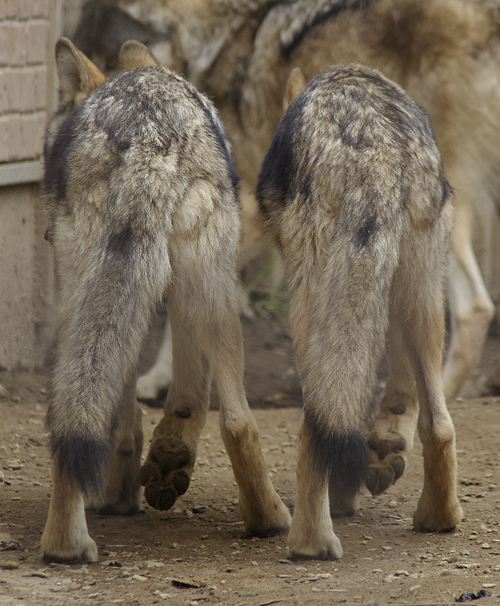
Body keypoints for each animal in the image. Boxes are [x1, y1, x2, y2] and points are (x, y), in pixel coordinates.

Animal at [41, 38, 292, 564]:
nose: (48, 234)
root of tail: (149, 135)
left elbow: (134, 410)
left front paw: (125, 491)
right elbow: (182, 396)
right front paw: (163, 462)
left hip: (99, 294)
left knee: (83, 407)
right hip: (210, 294)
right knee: (237, 421)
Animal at [254, 65, 464, 560]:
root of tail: (378, 151)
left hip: (309, 306)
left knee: (316, 424)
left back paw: (311, 542)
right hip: (421, 297)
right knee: (439, 425)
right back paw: (439, 518)